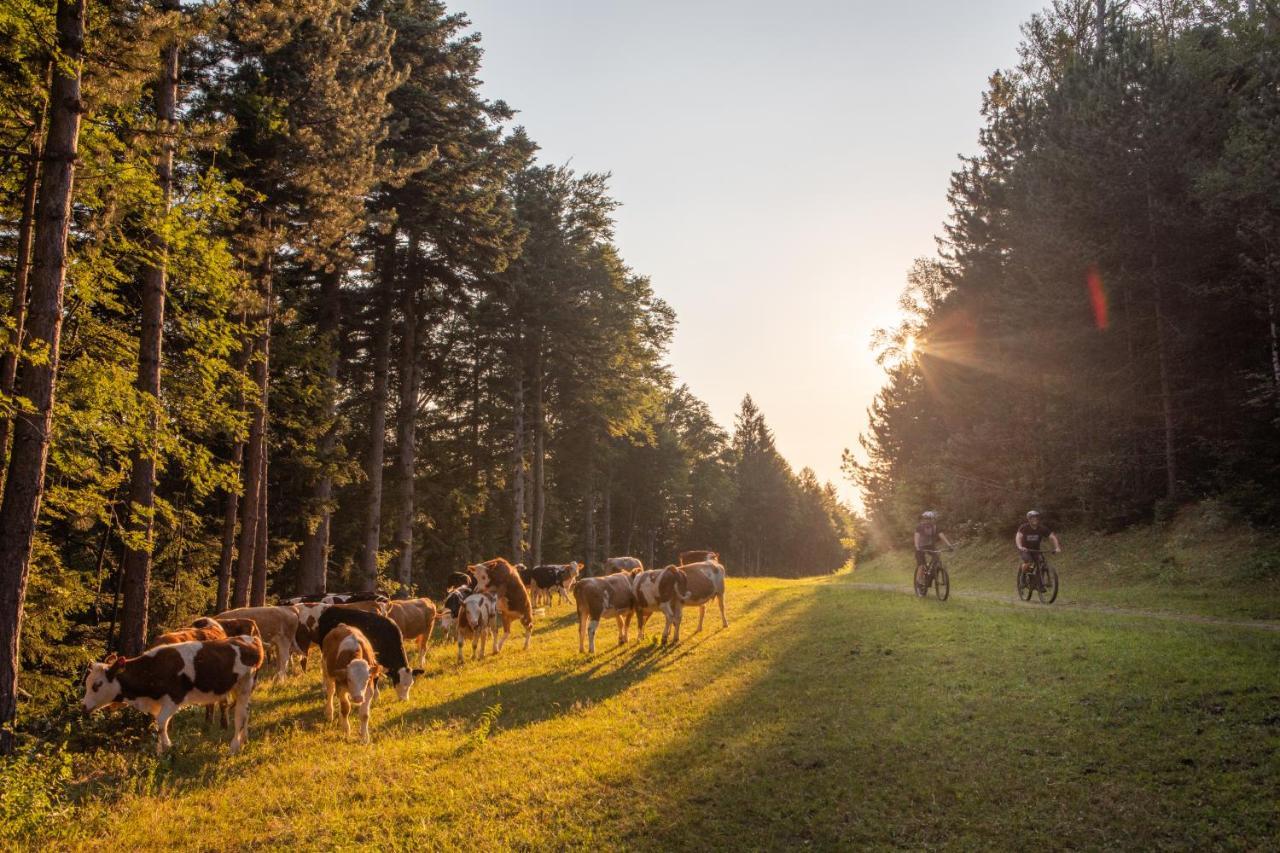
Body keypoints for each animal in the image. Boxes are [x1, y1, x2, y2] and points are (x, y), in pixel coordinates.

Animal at [80, 630, 264, 753]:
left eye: (97, 685)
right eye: (87, 684)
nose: (84, 707)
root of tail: (250, 639)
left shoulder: (174, 697)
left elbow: (162, 722)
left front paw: (168, 747)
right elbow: (158, 725)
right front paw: (160, 750)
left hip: (245, 684)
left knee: (240, 715)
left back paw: (234, 746)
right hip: (240, 688)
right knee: (246, 711)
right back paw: (244, 740)